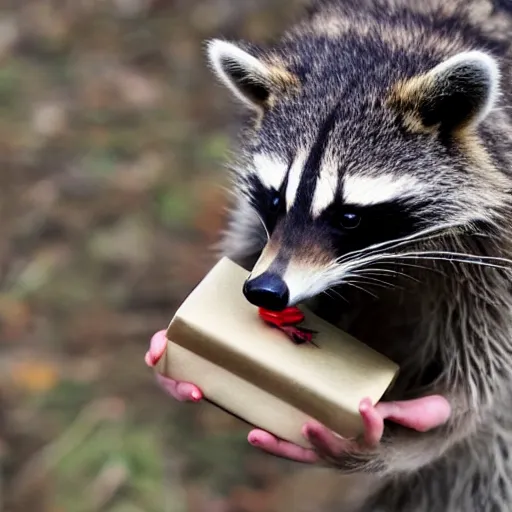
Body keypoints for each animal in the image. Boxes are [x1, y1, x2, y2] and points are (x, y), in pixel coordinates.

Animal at [206, 1, 512, 512]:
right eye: (275, 199)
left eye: (349, 217)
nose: (265, 291)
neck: (384, 49)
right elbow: (248, 243)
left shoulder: (497, 245)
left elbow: (488, 371)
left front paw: (425, 430)